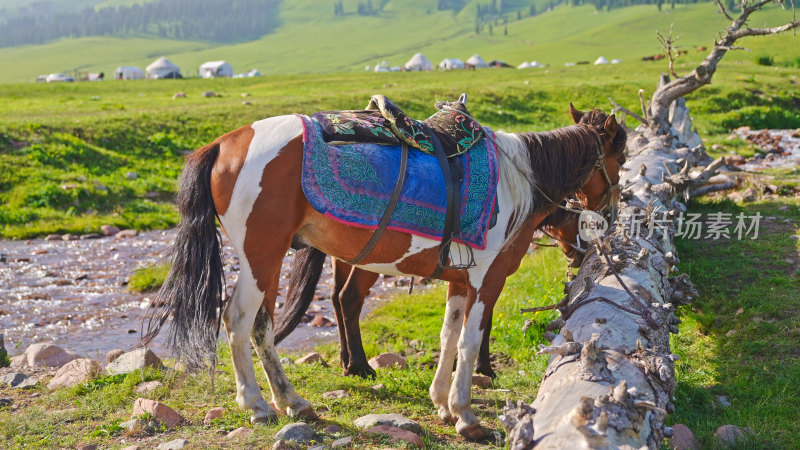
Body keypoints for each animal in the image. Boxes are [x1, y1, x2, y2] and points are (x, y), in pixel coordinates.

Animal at [147, 103, 628, 440]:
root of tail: (226, 142)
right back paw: (257, 404)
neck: (518, 183)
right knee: (239, 320)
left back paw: (292, 401)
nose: (609, 217)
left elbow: (448, 337)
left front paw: (442, 404)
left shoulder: (460, 282)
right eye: (620, 157)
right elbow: (470, 343)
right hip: (259, 257)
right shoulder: (485, 282)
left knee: (264, 325)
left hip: (268, 262)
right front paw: (466, 416)